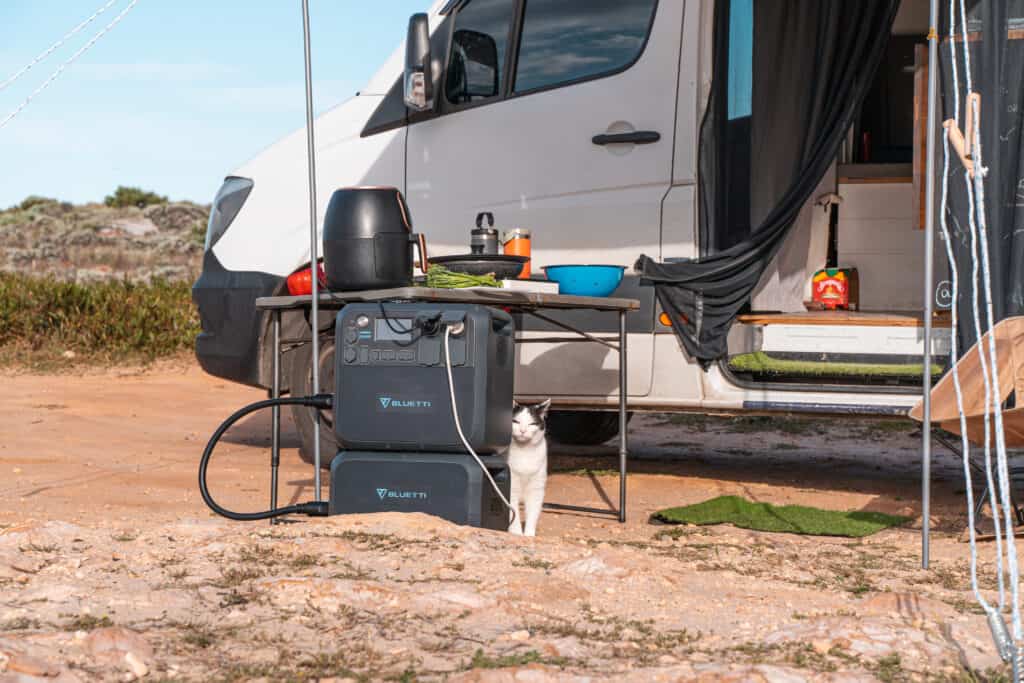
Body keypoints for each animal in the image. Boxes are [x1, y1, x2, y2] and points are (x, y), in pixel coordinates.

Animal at [505, 401, 552, 540]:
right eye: (515, 421)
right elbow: (513, 513)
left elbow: (533, 514)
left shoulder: (536, 490)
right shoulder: (511, 488)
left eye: (532, 424)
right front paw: (516, 534)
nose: (522, 430)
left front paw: (529, 536)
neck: (524, 451)